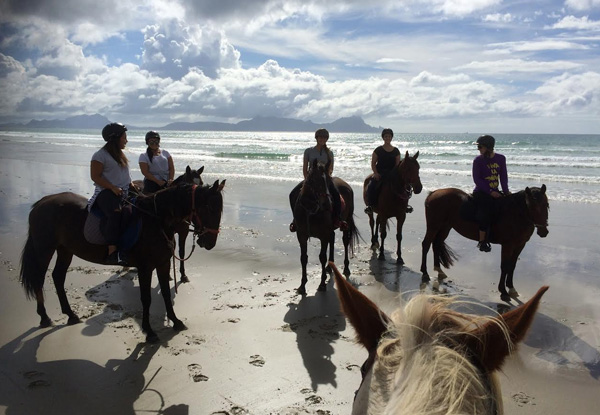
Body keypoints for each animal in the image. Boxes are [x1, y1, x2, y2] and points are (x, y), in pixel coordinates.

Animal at [19, 180, 225, 342]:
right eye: (209, 208)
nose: (210, 242)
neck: (156, 221)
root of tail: (42, 202)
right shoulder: (145, 267)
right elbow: (146, 298)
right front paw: (149, 331)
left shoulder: (163, 263)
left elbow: (166, 294)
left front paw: (175, 321)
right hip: (44, 250)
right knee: (39, 279)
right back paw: (44, 317)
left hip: (65, 250)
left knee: (58, 277)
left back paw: (70, 314)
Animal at [292, 158, 360, 294]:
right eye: (314, 180)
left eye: (327, 182)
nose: (328, 204)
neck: (310, 210)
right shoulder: (301, 235)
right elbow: (303, 258)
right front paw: (302, 285)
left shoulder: (323, 236)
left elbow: (322, 257)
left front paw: (322, 284)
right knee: (332, 238)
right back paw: (330, 266)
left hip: (346, 223)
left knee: (345, 242)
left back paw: (346, 267)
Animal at [420, 186, 552, 302]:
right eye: (531, 206)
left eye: (546, 205)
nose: (543, 231)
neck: (516, 214)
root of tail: (434, 193)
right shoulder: (508, 245)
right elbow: (505, 266)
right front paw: (503, 291)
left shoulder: (520, 245)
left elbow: (512, 266)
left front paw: (511, 287)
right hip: (434, 226)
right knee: (426, 244)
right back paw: (425, 272)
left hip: (445, 227)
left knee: (436, 244)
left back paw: (439, 270)